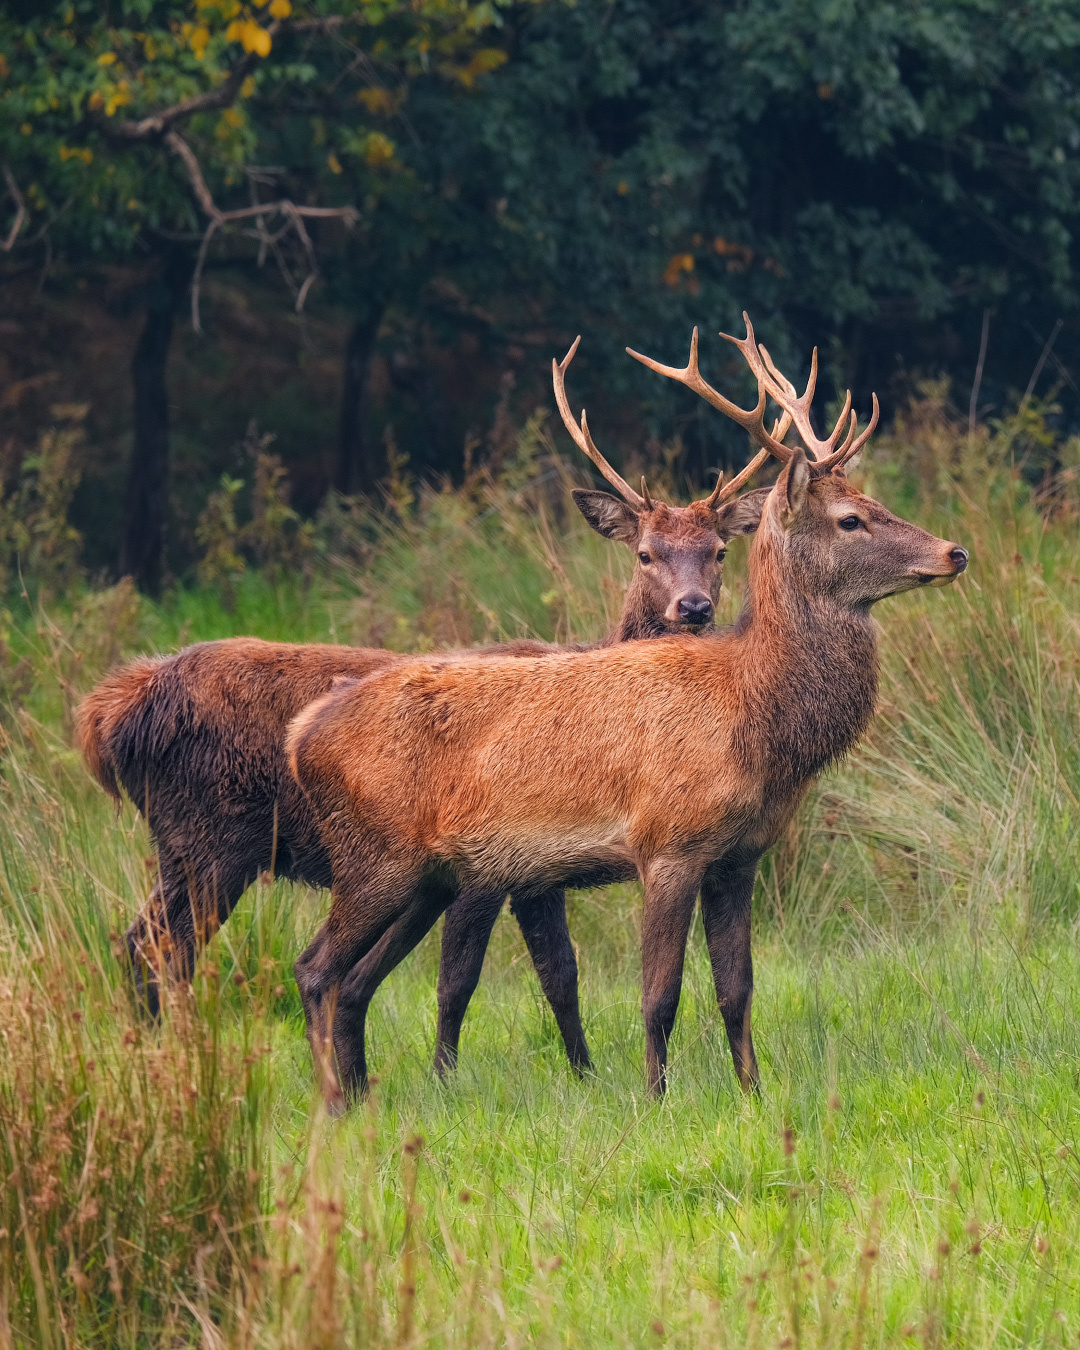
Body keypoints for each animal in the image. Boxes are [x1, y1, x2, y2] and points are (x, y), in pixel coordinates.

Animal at [75, 357, 772, 1076]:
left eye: (719, 551)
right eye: (645, 553)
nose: (693, 607)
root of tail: (110, 714)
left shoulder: (533, 870)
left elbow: (560, 975)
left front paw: (583, 1074)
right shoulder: (492, 858)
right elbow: (469, 977)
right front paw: (453, 1076)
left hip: (187, 845)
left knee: (140, 946)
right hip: (208, 839)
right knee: (162, 951)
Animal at [285, 314, 969, 1110]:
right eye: (850, 519)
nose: (953, 552)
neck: (753, 721)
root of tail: (303, 733)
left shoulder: (739, 855)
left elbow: (738, 990)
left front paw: (753, 1094)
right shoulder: (666, 842)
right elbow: (659, 993)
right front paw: (656, 1099)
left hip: (430, 876)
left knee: (357, 979)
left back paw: (361, 1096)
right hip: (374, 854)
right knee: (315, 968)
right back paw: (333, 1102)